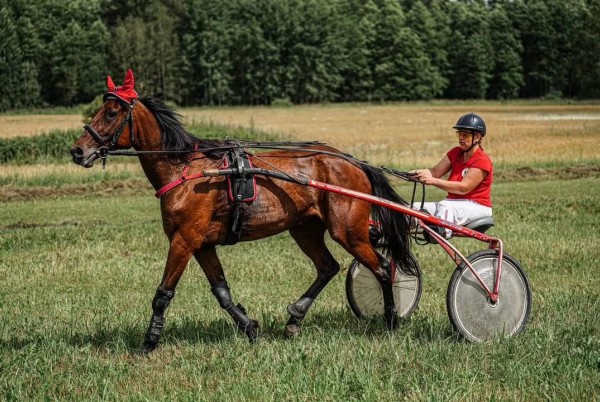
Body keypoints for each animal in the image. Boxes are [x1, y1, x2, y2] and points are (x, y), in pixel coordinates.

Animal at [70, 70, 418, 354]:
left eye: (111, 112)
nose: (77, 150)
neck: (184, 169)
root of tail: (354, 163)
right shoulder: (202, 244)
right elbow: (221, 292)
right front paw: (250, 328)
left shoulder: (183, 240)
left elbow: (163, 293)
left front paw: (149, 342)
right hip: (304, 229)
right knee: (327, 267)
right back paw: (295, 318)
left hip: (348, 232)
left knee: (383, 268)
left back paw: (390, 321)